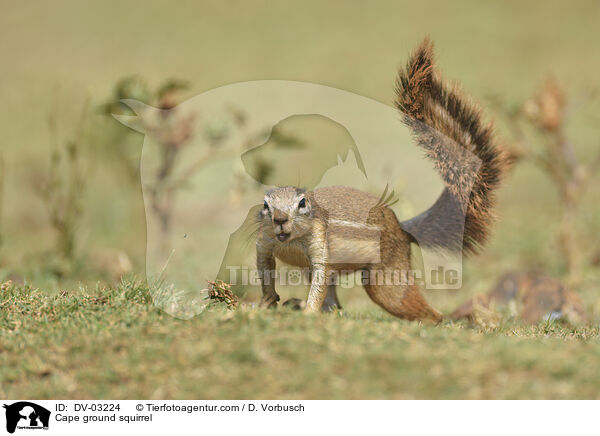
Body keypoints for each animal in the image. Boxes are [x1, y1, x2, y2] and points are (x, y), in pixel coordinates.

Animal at [255, 39, 508, 322]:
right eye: (265, 205)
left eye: (302, 203)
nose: (280, 220)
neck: (289, 242)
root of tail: (402, 228)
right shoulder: (264, 244)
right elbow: (265, 270)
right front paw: (265, 303)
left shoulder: (320, 248)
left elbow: (318, 283)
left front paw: (308, 312)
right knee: (335, 302)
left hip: (385, 278)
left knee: (416, 306)